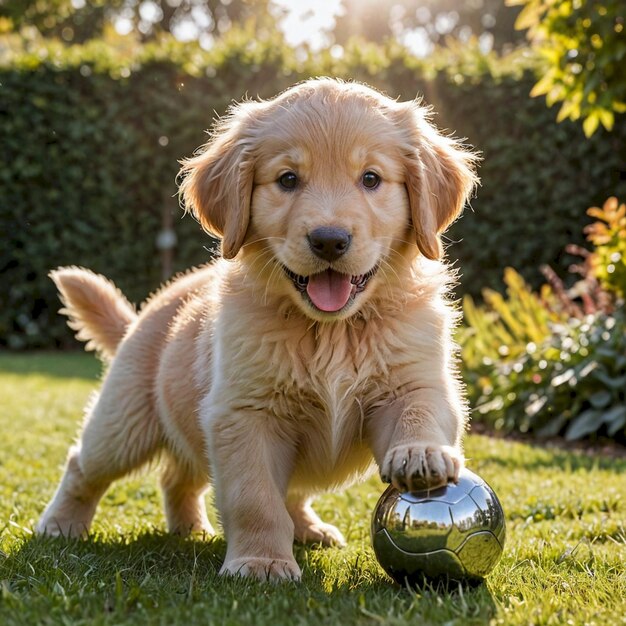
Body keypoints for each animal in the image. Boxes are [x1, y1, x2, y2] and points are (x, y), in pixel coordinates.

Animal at [37, 78, 478, 580]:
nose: (329, 240)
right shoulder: (244, 413)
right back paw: (61, 523)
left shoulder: (415, 380)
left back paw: (235, 528)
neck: (331, 330)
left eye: (371, 179)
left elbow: (419, 412)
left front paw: (422, 454)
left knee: (195, 478)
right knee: (86, 465)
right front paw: (262, 561)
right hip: (124, 420)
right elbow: (255, 497)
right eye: (287, 179)